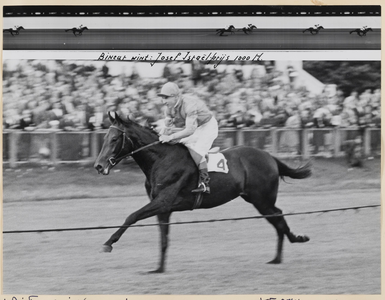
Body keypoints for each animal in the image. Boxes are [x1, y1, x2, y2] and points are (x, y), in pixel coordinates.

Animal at [94, 111, 312, 274]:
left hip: (262, 199)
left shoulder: (163, 201)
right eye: (104, 138)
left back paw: (295, 240)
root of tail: (269, 156)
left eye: (114, 138)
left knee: (278, 216)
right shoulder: (163, 208)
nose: (98, 165)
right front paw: (159, 269)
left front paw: (108, 243)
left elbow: (132, 216)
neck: (161, 160)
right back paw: (277, 257)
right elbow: (163, 238)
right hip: (258, 200)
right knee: (276, 218)